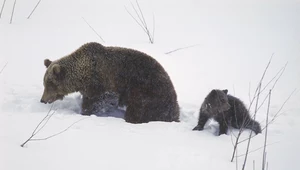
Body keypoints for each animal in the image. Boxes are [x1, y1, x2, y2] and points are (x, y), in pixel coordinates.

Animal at [40, 41, 179, 123]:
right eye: (44, 83)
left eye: (50, 84)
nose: (42, 100)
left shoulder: (103, 84)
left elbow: (98, 101)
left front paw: (86, 113)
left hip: (147, 93)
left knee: (138, 111)